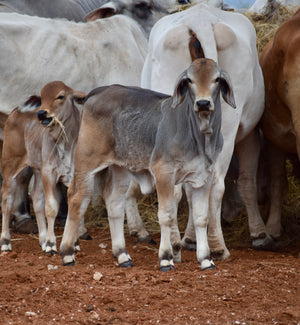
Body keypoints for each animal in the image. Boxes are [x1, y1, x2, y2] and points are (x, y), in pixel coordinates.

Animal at [0, 81, 86, 253]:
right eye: (43, 96)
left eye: (60, 96)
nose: (41, 114)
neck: (65, 144)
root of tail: (16, 111)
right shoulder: (49, 173)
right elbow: (51, 207)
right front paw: (52, 244)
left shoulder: (72, 176)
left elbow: (73, 206)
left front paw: (74, 243)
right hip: (10, 166)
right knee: (7, 199)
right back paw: (6, 241)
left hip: (37, 170)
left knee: (37, 199)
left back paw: (42, 239)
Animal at [59, 58, 236, 270]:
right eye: (189, 80)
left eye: (216, 79)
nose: (203, 103)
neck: (200, 137)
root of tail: (99, 91)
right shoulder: (164, 173)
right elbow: (167, 215)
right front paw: (166, 257)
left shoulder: (204, 176)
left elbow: (201, 218)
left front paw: (206, 259)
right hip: (86, 162)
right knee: (77, 198)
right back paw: (67, 253)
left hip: (120, 168)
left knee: (114, 202)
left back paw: (123, 255)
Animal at [141, 3, 264, 260]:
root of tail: (201, 18)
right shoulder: (250, 134)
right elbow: (245, 182)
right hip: (229, 123)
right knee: (214, 183)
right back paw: (215, 246)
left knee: (188, 187)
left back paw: (183, 244)